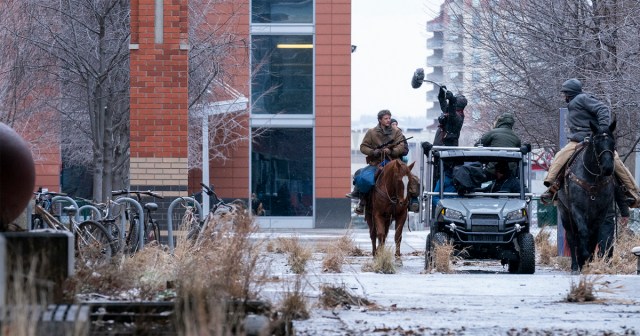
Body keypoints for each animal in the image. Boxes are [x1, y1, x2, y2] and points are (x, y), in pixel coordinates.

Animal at [556, 121, 616, 272]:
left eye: (613, 142)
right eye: (597, 142)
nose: (608, 168)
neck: (592, 178)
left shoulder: (600, 212)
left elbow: (594, 236)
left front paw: (588, 260)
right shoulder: (577, 210)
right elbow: (583, 232)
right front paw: (583, 257)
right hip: (565, 214)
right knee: (572, 238)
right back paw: (575, 265)